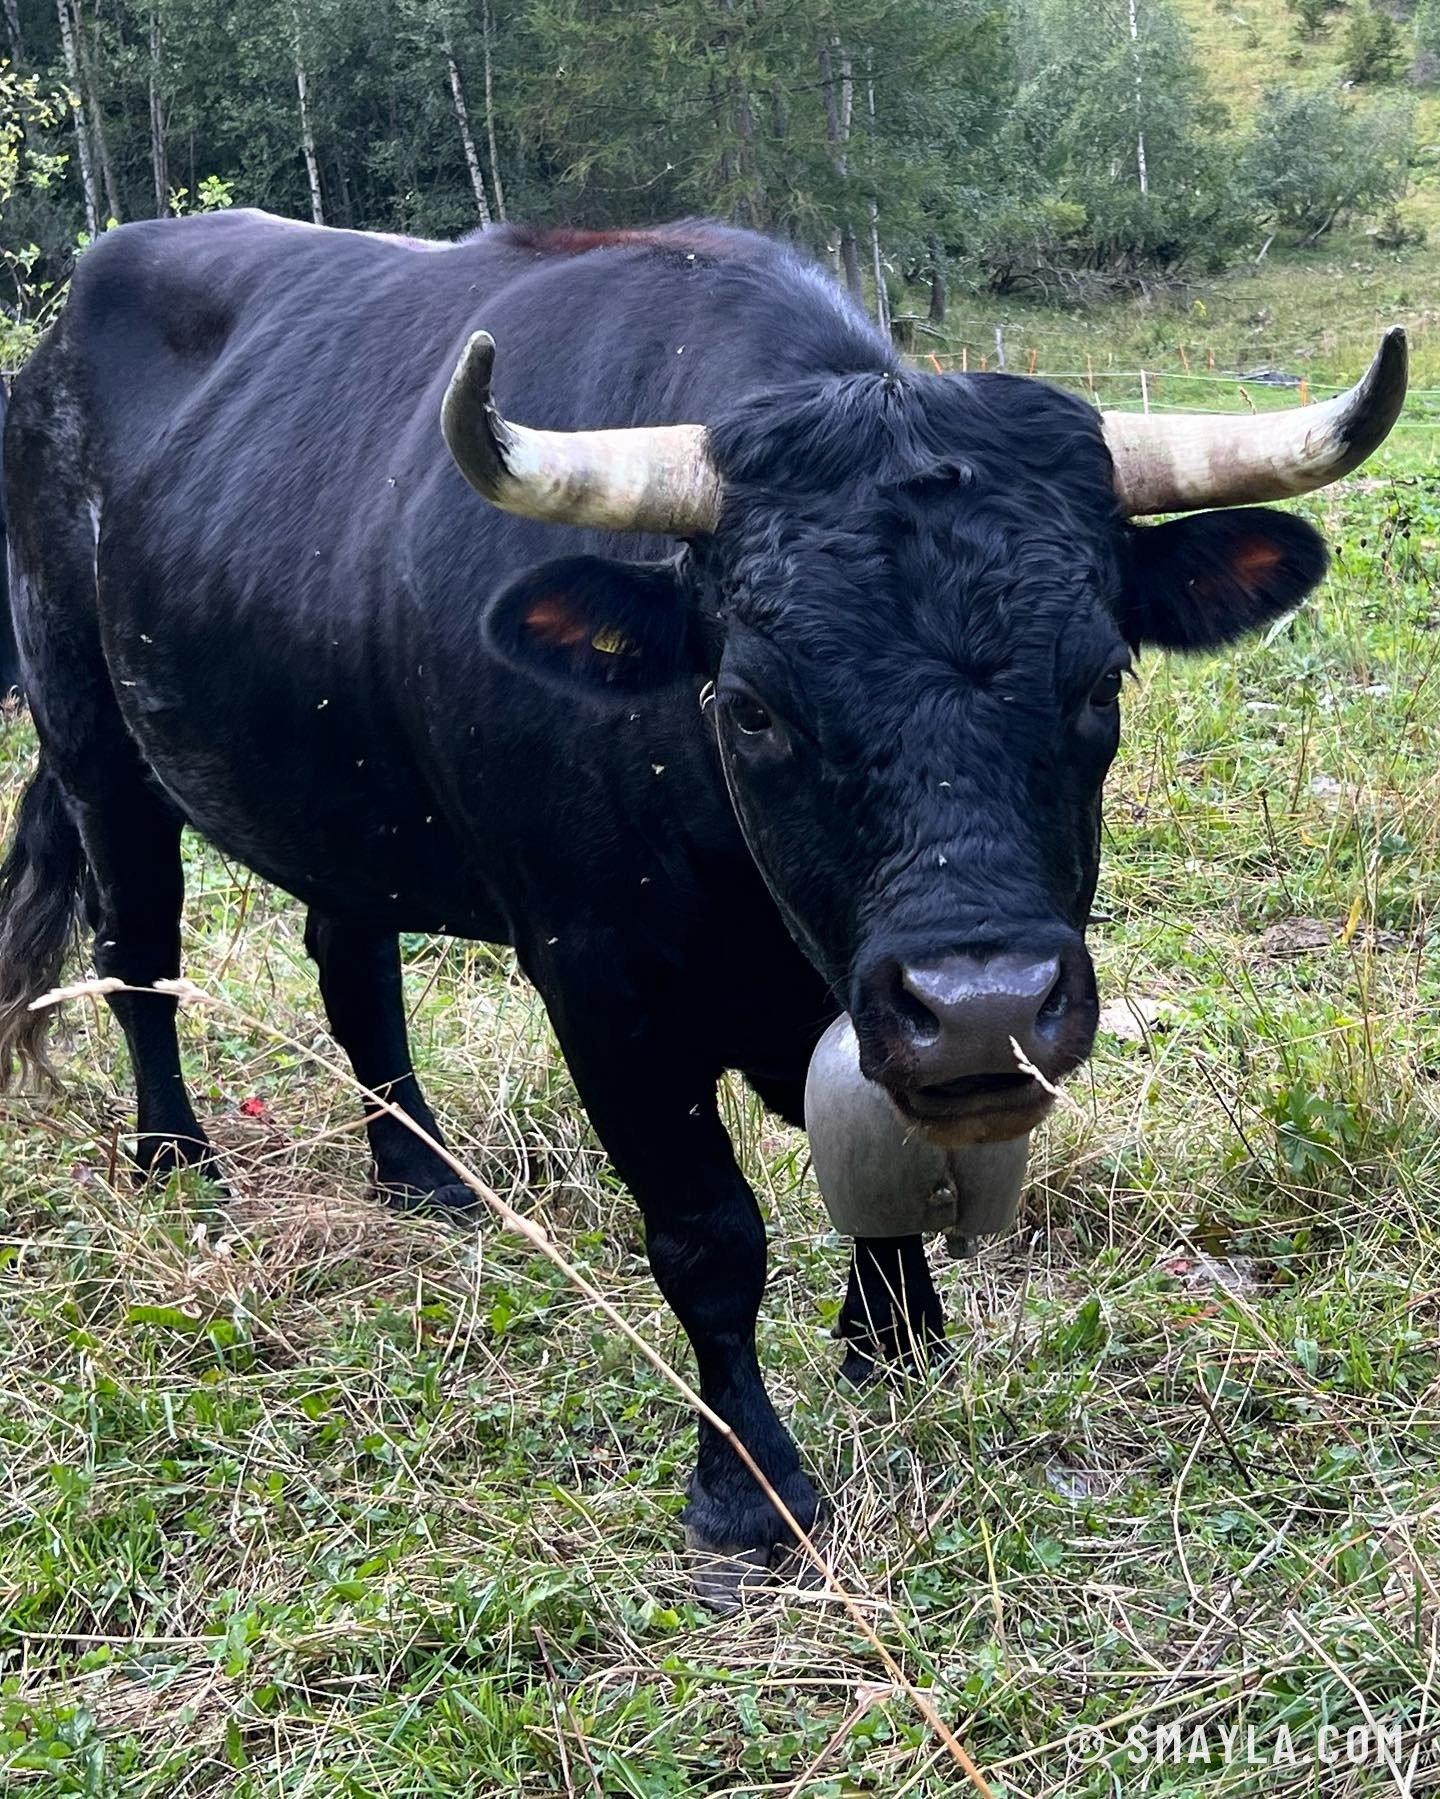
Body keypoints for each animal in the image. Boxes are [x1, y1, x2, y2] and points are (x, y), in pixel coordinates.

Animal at [0, 212, 1405, 1587]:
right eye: (753, 705)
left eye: (1101, 678)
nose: (984, 1007)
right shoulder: (599, 984)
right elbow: (708, 1235)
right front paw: (749, 1488)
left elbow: (872, 1165)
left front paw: (896, 1340)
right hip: (94, 742)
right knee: (139, 952)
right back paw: (177, 1160)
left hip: (344, 796)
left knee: (350, 953)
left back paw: (423, 1173)